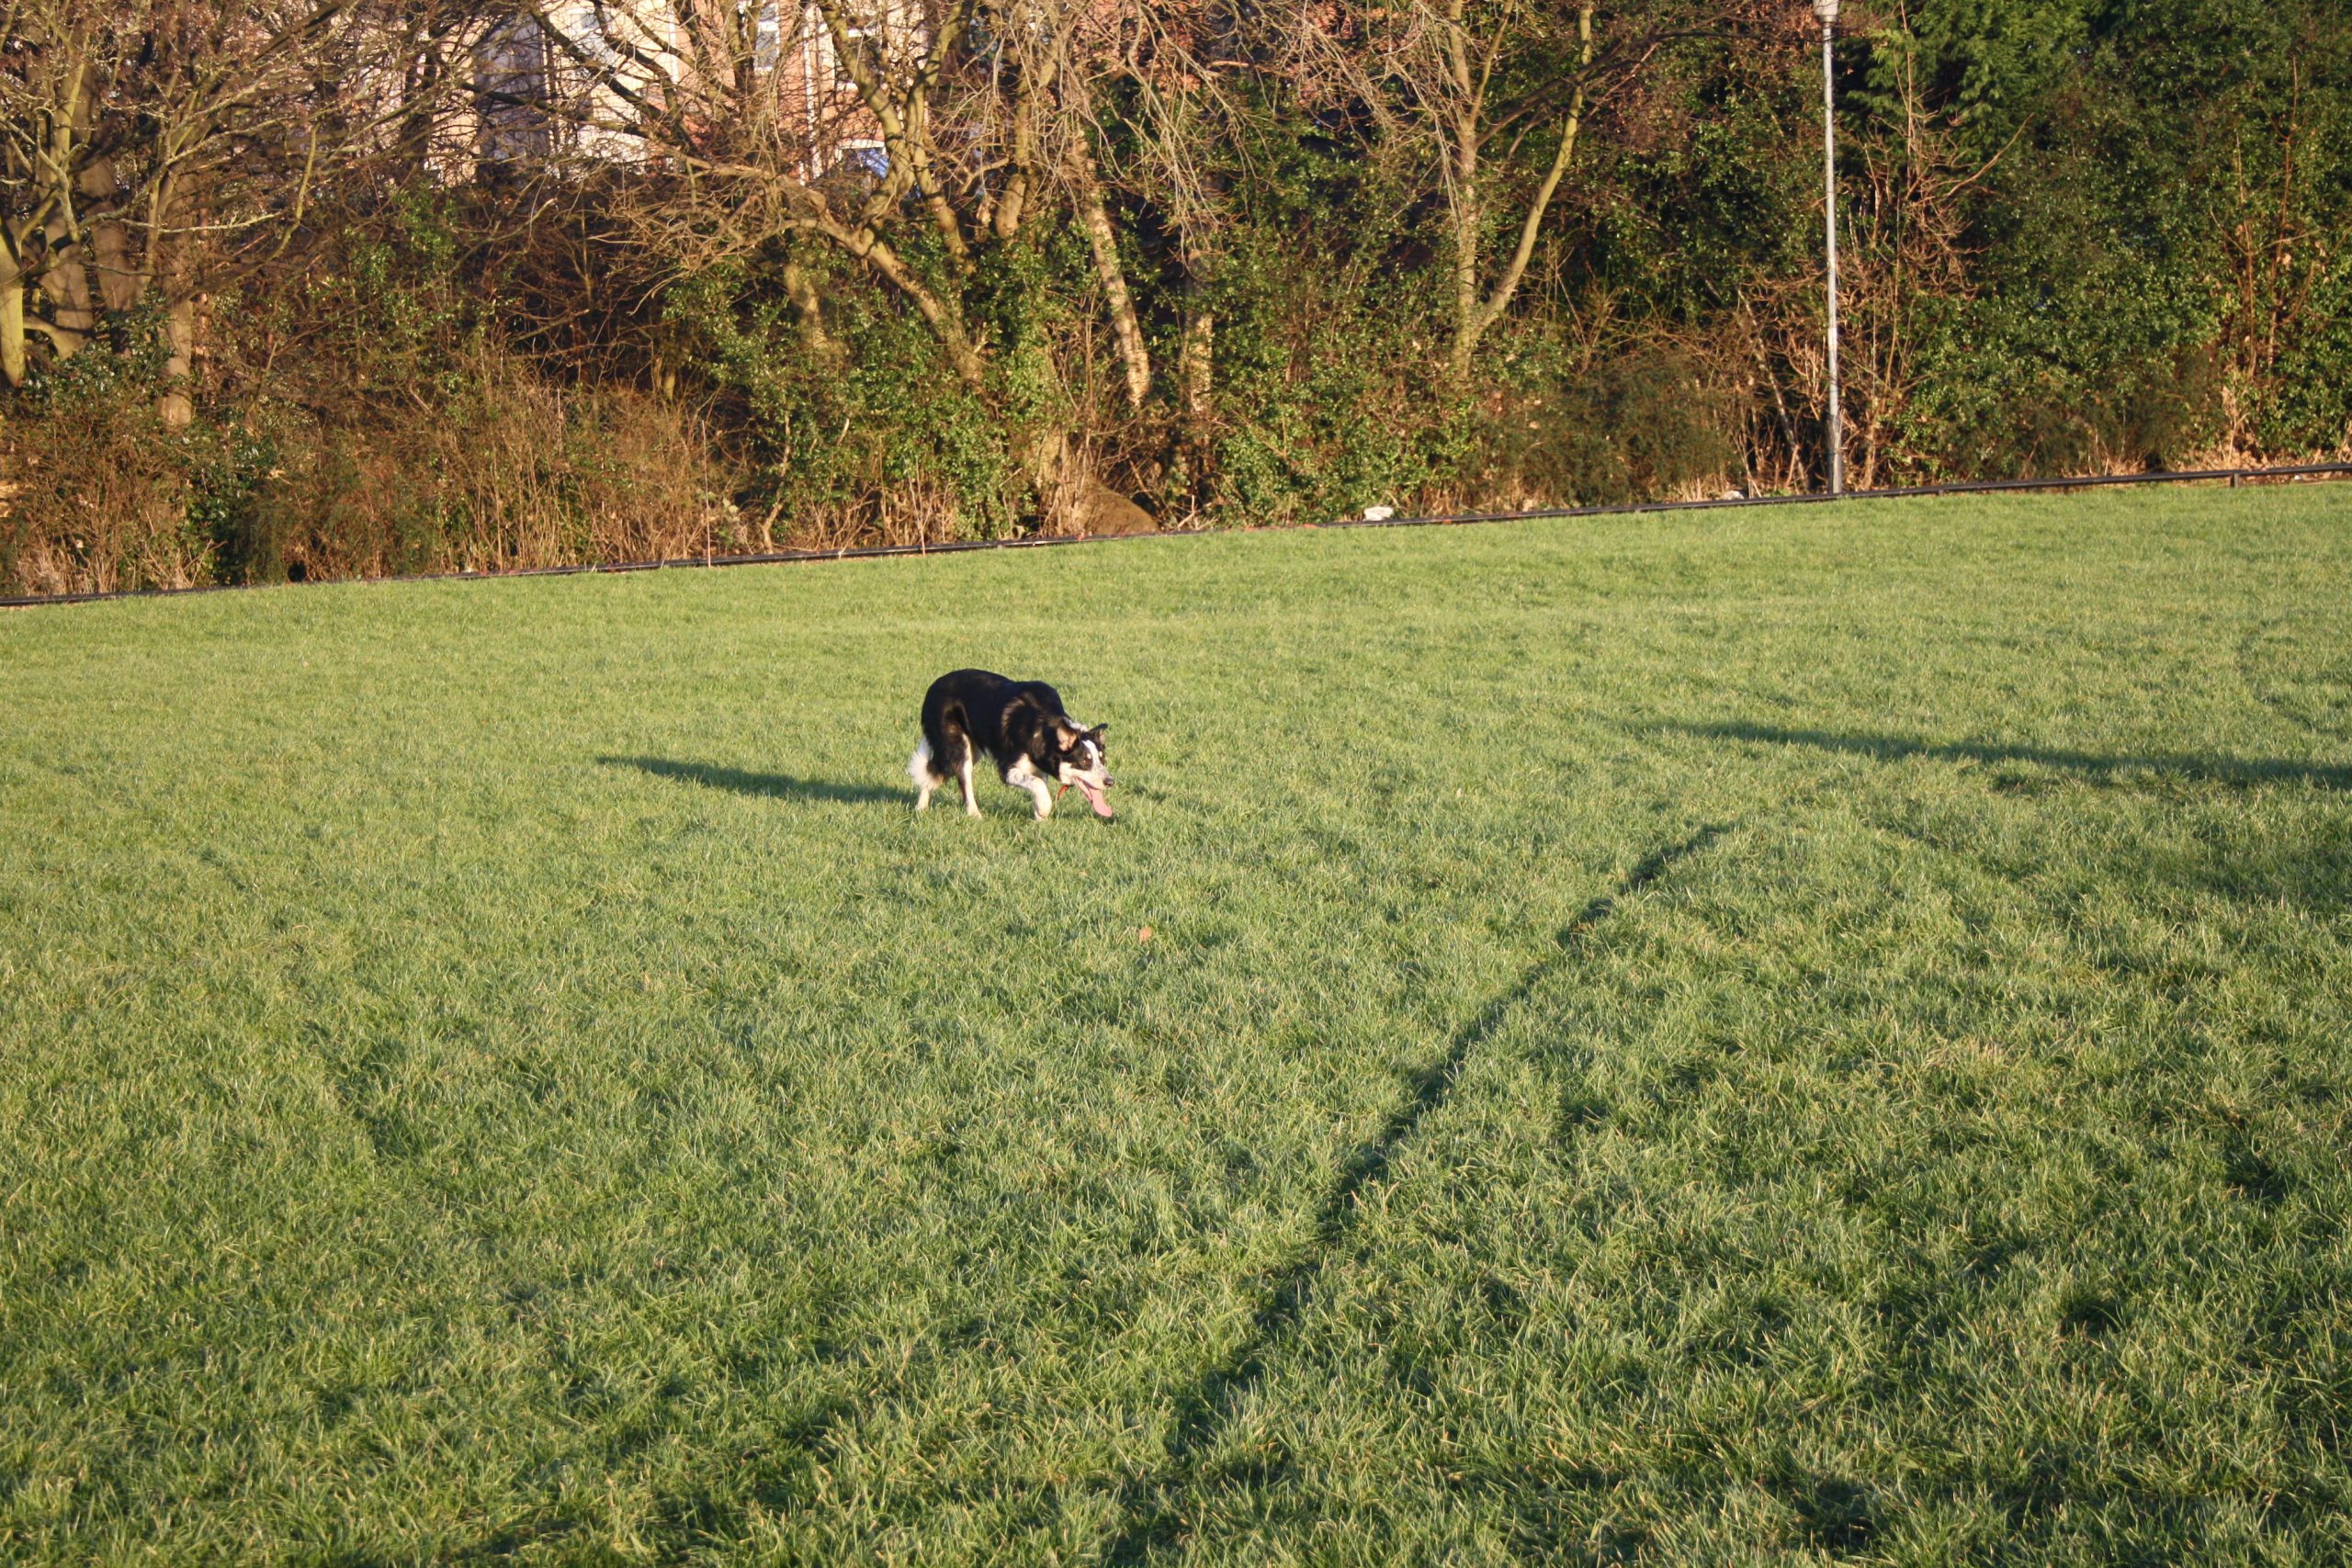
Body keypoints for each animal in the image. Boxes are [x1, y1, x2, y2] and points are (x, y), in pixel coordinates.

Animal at [903, 667, 1114, 822]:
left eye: (1102, 760)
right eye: (1085, 761)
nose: (1110, 782)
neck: (1043, 729)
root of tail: (935, 685)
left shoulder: (1038, 769)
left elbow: (1039, 786)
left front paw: (1040, 820)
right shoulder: (1008, 769)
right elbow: (1038, 786)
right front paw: (1044, 810)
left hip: (971, 750)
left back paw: (921, 808)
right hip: (958, 747)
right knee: (963, 783)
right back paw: (974, 815)